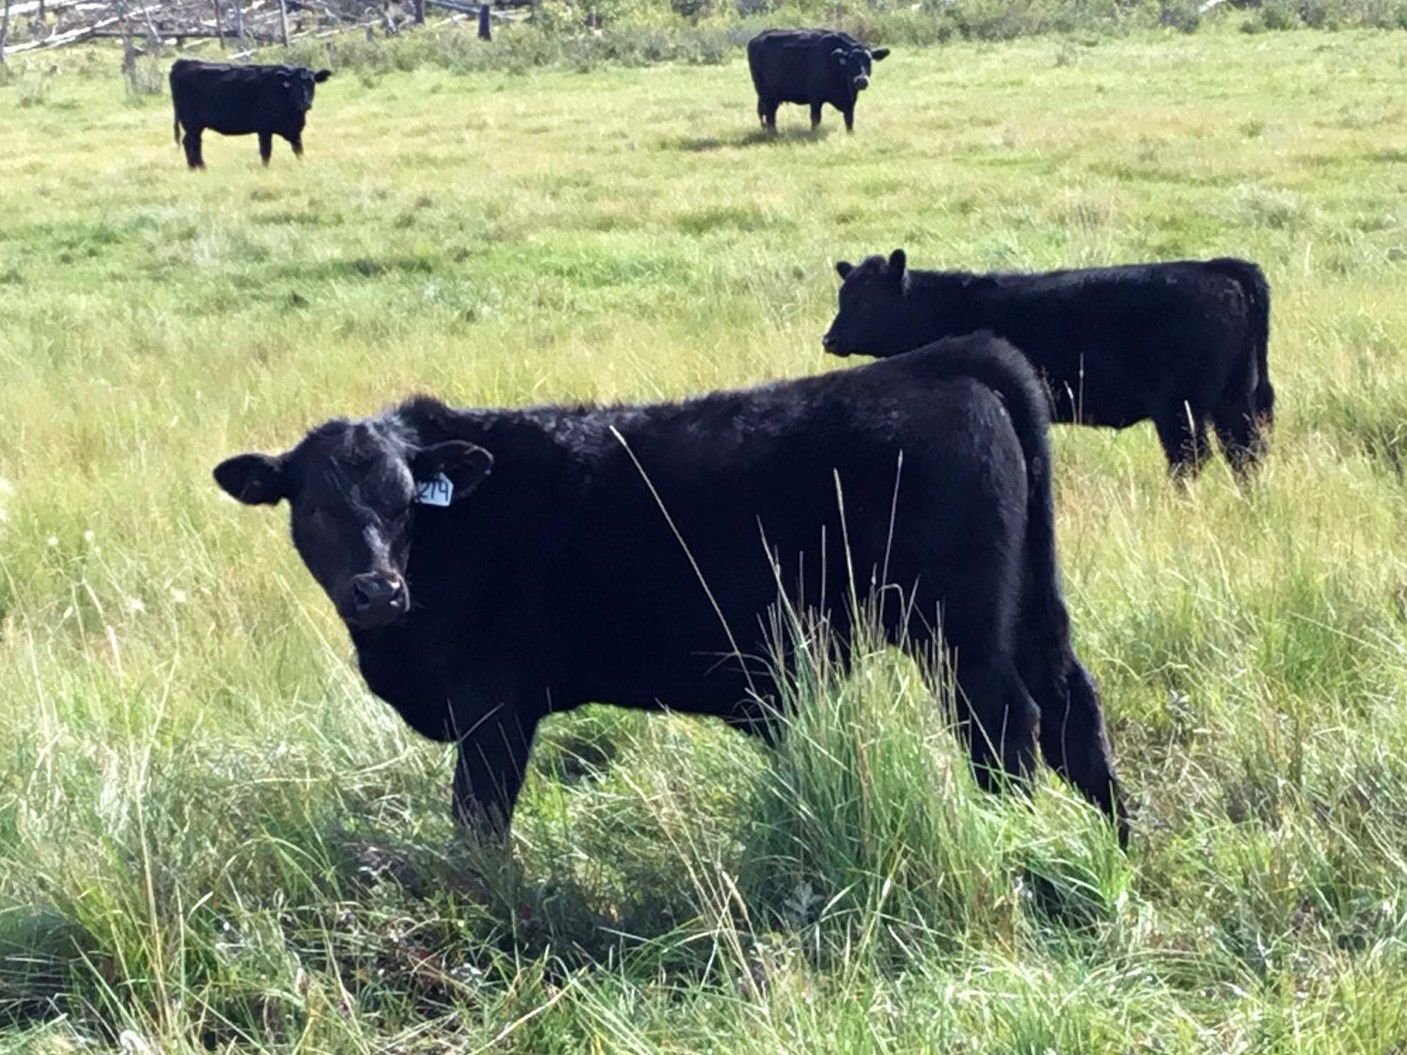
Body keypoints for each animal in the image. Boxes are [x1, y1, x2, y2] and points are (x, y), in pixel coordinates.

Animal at [169, 58, 332, 170]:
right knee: (191, 143)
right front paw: (265, 169)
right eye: (294, 85)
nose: (305, 103)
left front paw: (302, 165)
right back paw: (199, 168)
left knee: (191, 143)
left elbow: (299, 150)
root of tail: (183, 62)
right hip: (192, 124)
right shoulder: (264, 129)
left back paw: (195, 168)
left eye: (312, 83)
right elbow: (266, 151)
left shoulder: (294, 130)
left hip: (195, 125)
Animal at [213, 335, 1127, 847]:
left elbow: (477, 823)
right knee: (1071, 707)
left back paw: (1013, 838)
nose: (378, 590)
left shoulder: (493, 705)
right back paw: (1113, 845)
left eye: (408, 500)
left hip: (955, 629)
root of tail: (945, 362)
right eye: (314, 506)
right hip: (1027, 609)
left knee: (1006, 724)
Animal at [747, 29, 890, 133]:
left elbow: (849, 119)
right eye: (850, 60)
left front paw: (850, 134)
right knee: (769, 115)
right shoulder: (815, 97)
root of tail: (757, 38)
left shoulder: (850, 101)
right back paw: (774, 133)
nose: (861, 80)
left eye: (869, 60)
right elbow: (815, 118)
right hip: (767, 94)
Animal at [823, 251, 1274, 480]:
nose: (829, 339)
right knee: (1244, 452)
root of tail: (1217, 268)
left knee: (1192, 457)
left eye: (865, 300)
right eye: (844, 295)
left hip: (1180, 406)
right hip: (1235, 399)